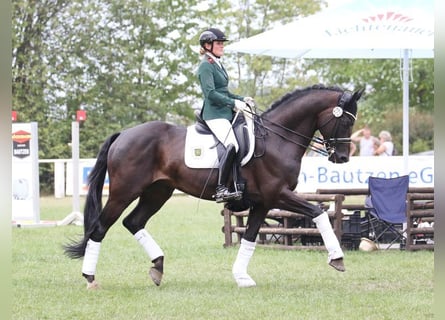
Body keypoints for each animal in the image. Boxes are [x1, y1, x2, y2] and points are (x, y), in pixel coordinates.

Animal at [67, 84, 364, 288]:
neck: (277, 139)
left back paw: (157, 267)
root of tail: (123, 134)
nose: (342, 158)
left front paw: (241, 277)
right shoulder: (278, 194)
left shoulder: (264, 202)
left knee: (133, 222)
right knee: (100, 227)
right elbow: (318, 212)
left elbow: (250, 237)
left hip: (157, 192)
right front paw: (337, 259)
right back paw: (90, 277)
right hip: (123, 192)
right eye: (345, 120)